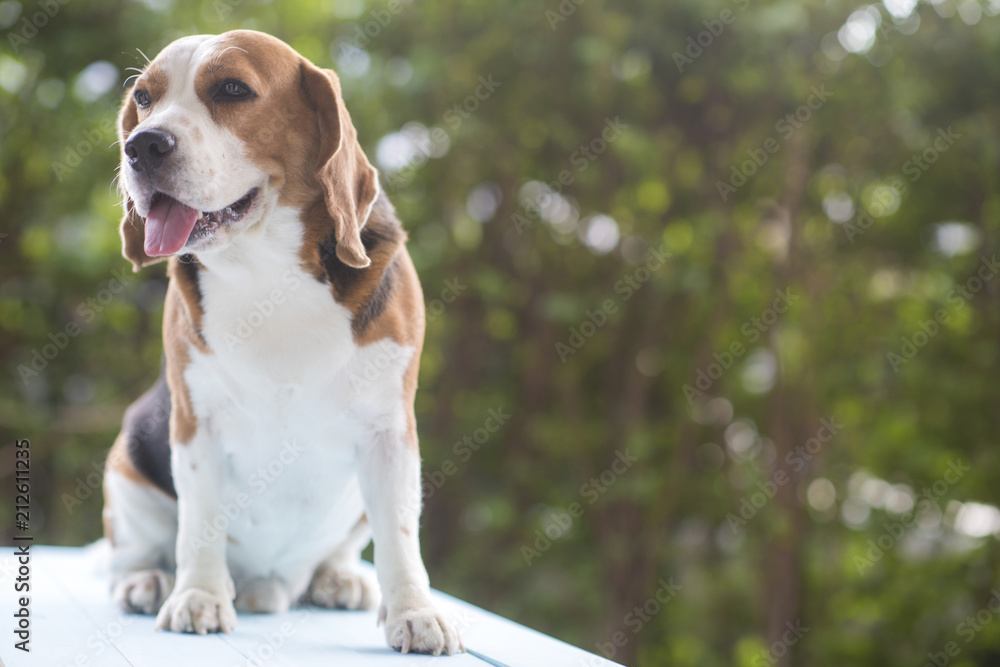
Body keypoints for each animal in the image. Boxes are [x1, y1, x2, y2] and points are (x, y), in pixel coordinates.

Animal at [101, 28, 460, 656]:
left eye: (232, 89)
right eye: (144, 98)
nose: (141, 147)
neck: (267, 271)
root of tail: (272, 583)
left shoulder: (390, 431)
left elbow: (399, 534)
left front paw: (415, 612)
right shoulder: (196, 425)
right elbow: (199, 524)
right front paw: (198, 596)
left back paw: (336, 578)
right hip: (125, 469)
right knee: (132, 553)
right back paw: (150, 580)